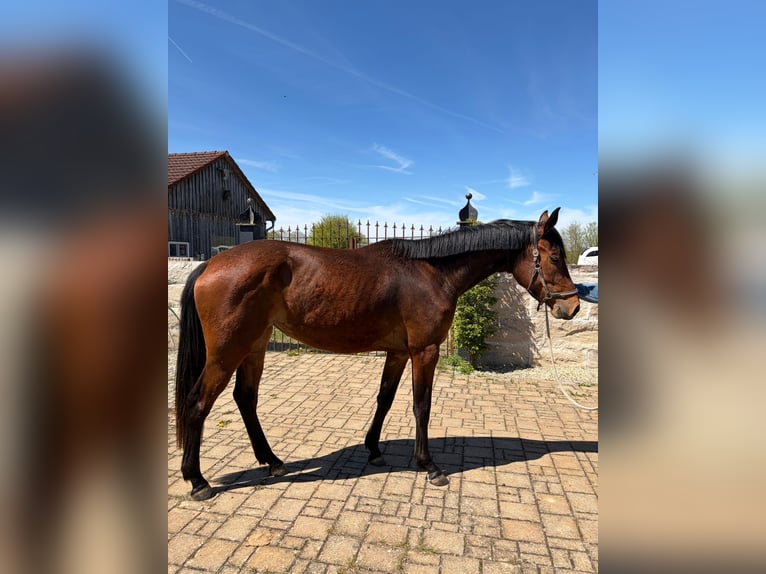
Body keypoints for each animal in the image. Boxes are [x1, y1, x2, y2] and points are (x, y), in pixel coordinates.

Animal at [174, 208, 580, 500]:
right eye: (553, 256)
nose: (572, 307)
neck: (432, 272)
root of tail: (211, 264)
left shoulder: (398, 352)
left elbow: (384, 399)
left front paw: (373, 450)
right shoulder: (424, 351)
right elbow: (421, 405)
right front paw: (429, 466)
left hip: (254, 347)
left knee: (245, 398)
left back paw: (273, 463)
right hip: (226, 353)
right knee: (198, 404)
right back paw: (198, 481)